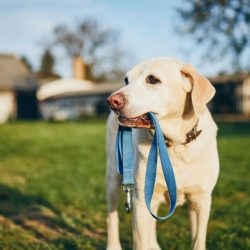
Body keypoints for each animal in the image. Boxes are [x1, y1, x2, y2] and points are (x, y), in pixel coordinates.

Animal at [105, 57, 219, 250]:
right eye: (126, 80)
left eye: (152, 79)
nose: (112, 101)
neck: (174, 145)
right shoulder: (140, 201)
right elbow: (139, 242)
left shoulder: (201, 200)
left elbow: (198, 242)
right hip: (113, 178)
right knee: (112, 217)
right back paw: (113, 245)